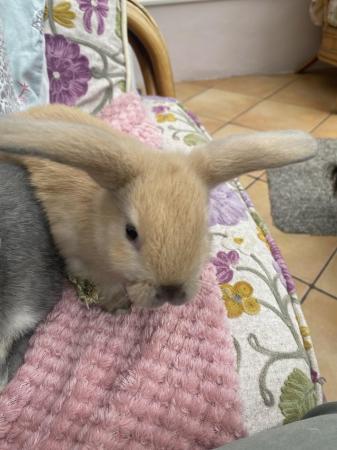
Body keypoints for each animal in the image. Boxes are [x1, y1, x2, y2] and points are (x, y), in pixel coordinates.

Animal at [0, 103, 316, 312]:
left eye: (203, 228)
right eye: (130, 232)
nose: (171, 291)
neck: (96, 223)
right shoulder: (79, 257)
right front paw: (117, 306)